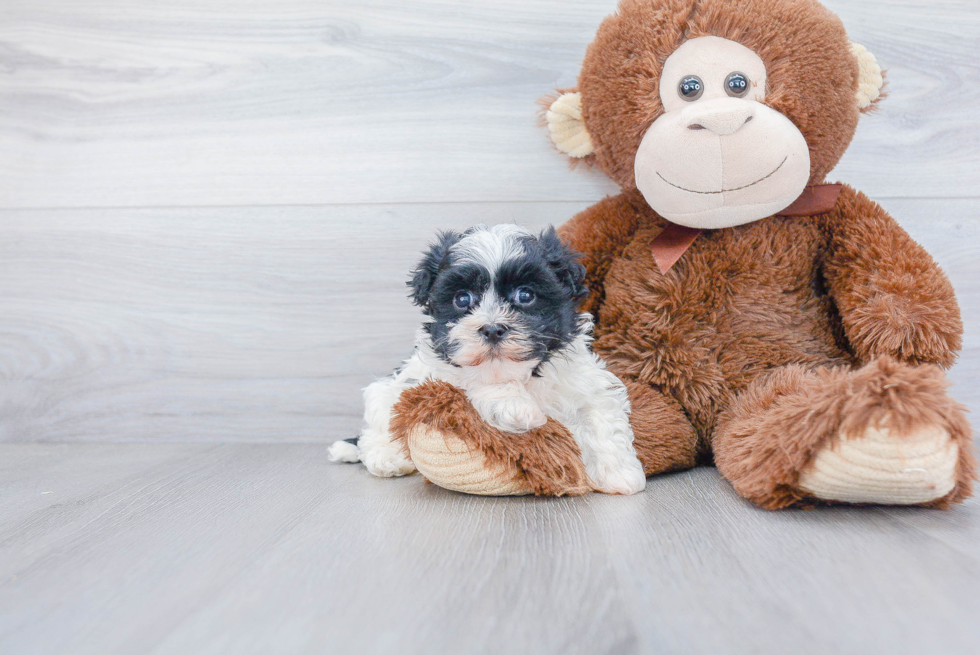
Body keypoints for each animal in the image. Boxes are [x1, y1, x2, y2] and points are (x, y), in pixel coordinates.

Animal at [330, 223, 648, 494]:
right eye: (462, 299)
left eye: (525, 295)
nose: (492, 328)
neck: (521, 374)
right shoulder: (438, 368)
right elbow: (476, 377)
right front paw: (515, 408)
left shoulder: (582, 377)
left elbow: (600, 413)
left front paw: (619, 474)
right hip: (389, 391)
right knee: (378, 422)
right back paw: (385, 457)